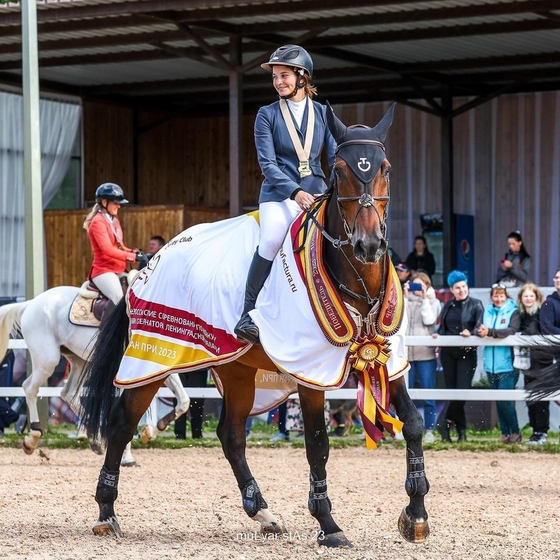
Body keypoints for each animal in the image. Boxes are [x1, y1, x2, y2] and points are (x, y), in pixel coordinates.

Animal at [0, 284, 190, 464]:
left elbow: (183, 401)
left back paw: (96, 440)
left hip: (78, 361)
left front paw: (151, 431)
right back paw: (33, 437)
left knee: (68, 393)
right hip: (47, 360)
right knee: (30, 388)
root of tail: (31, 303)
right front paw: (127, 456)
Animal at [77, 105, 428, 548]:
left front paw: (416, 514)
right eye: (340, 169)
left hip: (236, 368)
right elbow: (317, 444)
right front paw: (329, 525)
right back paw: (106, 513)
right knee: (122, 424)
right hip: (153, 357)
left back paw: (262, 512)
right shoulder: (311, 373)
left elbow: (413, 425)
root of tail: (149, 263)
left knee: (231, 435)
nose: (369, 244)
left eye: (385, 168)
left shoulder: (386, 360)